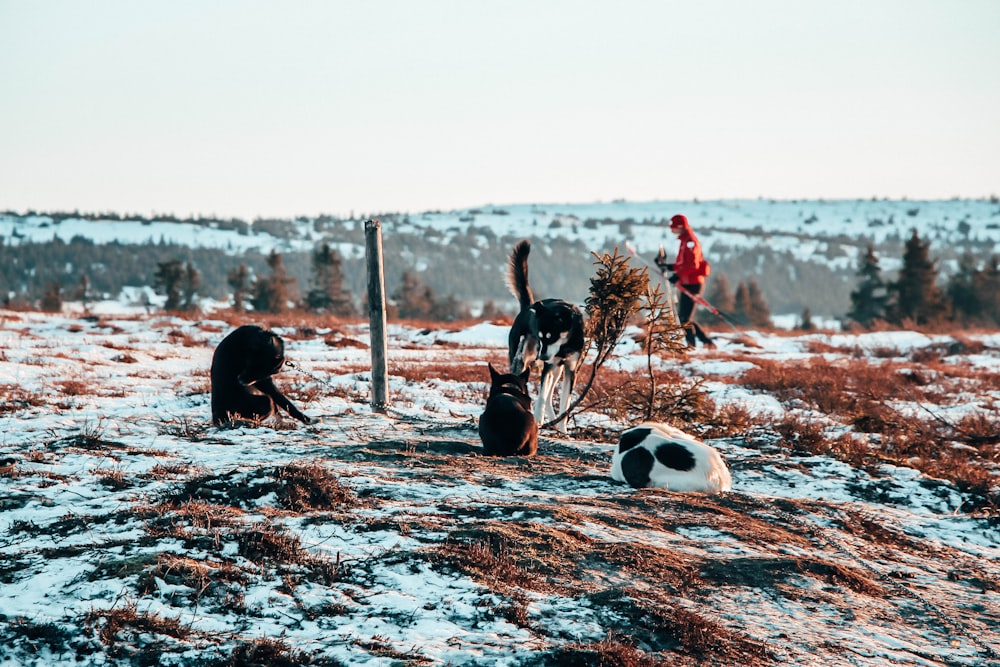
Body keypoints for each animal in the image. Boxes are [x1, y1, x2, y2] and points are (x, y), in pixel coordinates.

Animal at [508, 240, 584, 434]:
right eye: (541, 337)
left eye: (551, 336)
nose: (541, 356)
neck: (565, 346)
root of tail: (527, 307)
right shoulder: (548, 366)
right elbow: (541, 396)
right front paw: (537, 420)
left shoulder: (570, 368)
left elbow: (565, 403)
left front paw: (563, 429)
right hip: (522, 361)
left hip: (556, 370)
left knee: (550, 395)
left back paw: (552, 421)